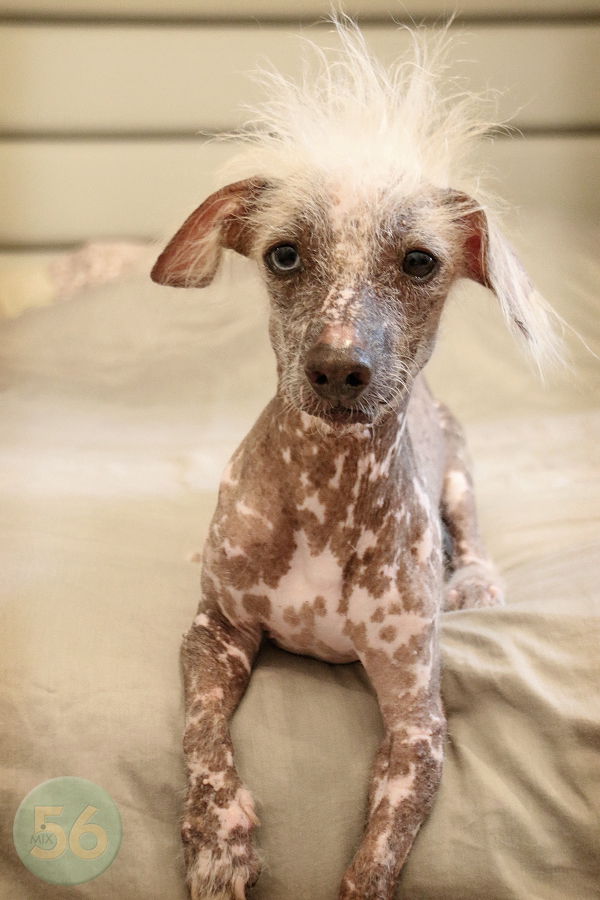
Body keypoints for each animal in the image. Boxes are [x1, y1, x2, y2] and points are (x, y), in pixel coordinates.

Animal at [151, 21, 564, 900]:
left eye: (420, 261)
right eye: (282, 256)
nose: (340, 369)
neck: (326, 492)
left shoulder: (418, 721)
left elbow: (377, 857)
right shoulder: (214, 633)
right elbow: (200, 737)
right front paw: (218, 840)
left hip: (461, 476)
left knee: (473, 532)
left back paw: (476, 582)